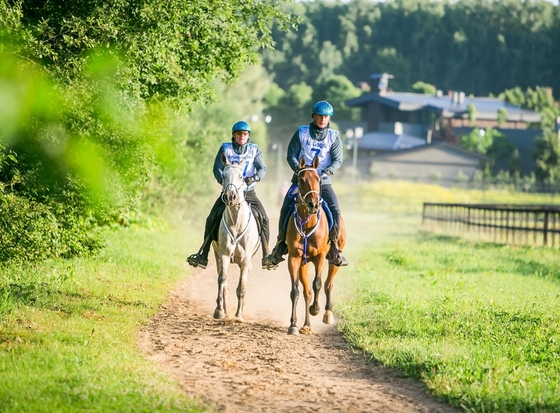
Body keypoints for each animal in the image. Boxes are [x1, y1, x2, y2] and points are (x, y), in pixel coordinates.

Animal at [288, 156, 346, 334]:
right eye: (301, 180)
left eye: (319, 179)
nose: (313, 204)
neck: (307, 224)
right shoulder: (294, 258)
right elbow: (295, 290)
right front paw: (293, 324)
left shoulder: (320, 256)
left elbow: (318, 284)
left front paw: (315, 309)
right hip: (304, 264)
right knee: (306, 292)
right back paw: (306, 325)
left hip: (334, 259)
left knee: (328, 284)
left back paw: (327, 313)